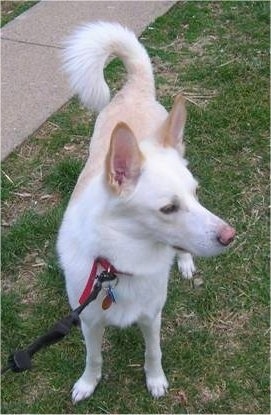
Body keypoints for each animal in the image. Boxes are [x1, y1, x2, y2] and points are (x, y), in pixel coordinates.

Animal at [57, 22, 236, 404]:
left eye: (196, 193)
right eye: (168, 208)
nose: (230, 236)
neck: (119, 265)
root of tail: (133, 90)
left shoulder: (152, 317)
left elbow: (153, 352)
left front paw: (156, 381)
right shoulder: (88, 320)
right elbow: (94, 358)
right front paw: (87, 384)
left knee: (181, 252)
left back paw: (184, 262)